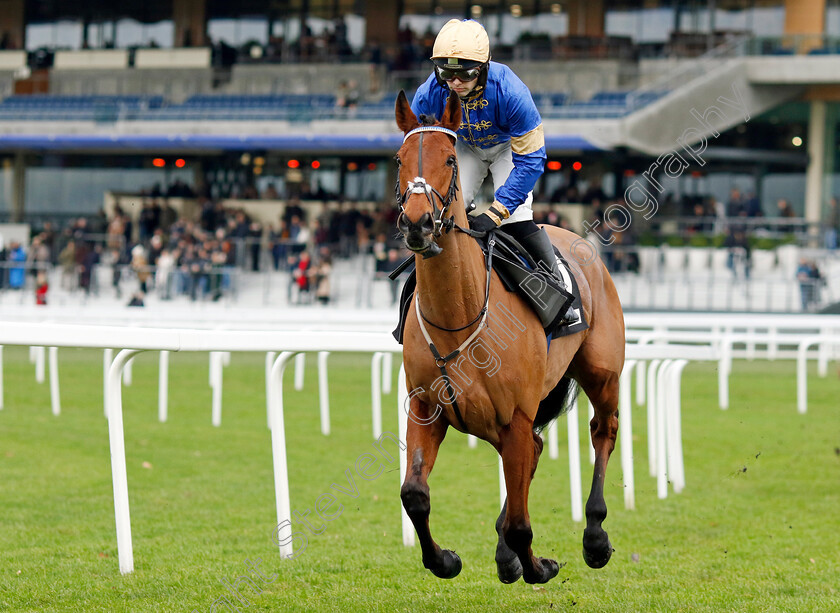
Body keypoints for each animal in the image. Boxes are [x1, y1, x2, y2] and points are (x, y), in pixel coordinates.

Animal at [394, 91, 624, 584]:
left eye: (448, 159)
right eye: (399, 159)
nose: (418, 223)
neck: (458, 316)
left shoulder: (517, 415)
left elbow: (522, 524)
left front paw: (540, 565)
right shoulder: (426, 409)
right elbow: (414, 494)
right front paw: (445, 560)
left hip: (601, 373)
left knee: (603, 431)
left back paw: (594, 536)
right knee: (535, 453)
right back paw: (505, 554)